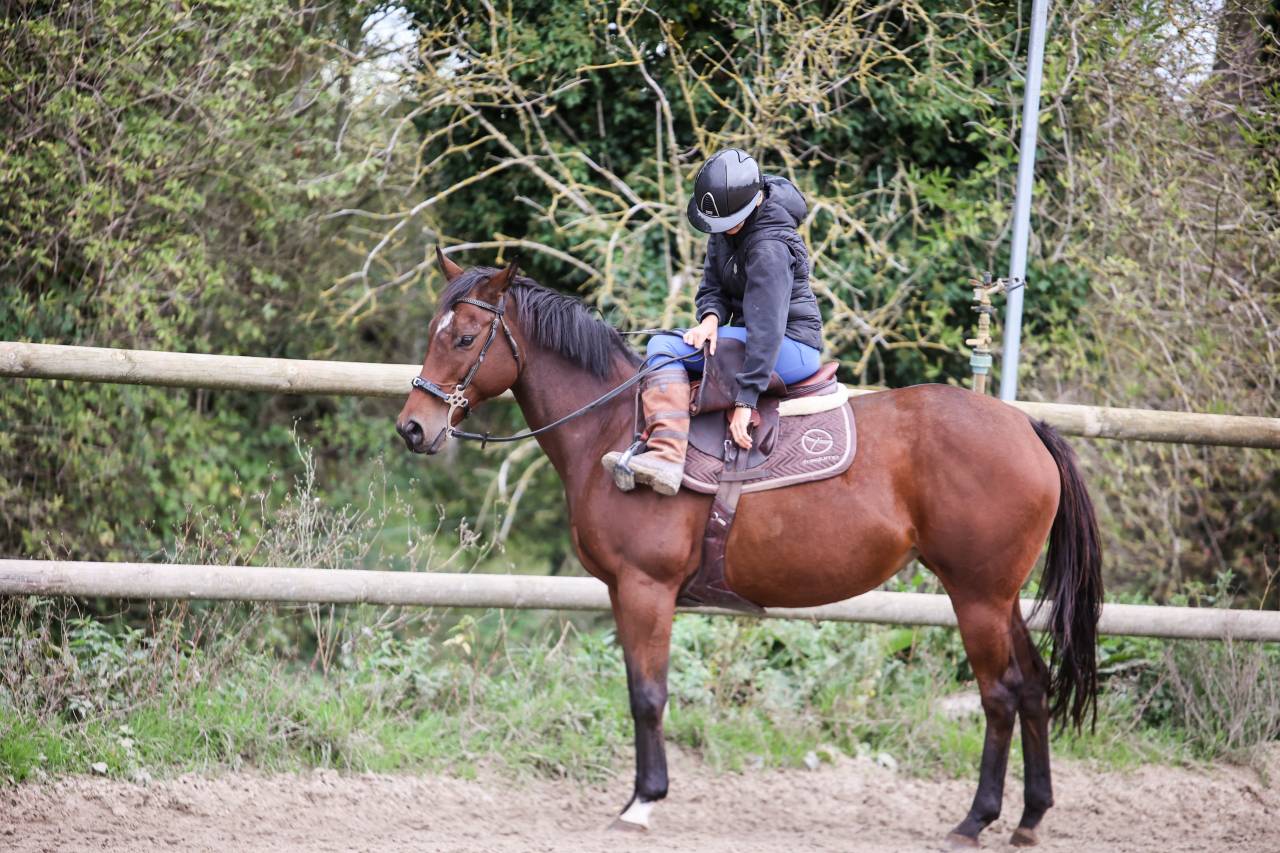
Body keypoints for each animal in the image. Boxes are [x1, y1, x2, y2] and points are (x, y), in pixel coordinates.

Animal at [395, 252, 1103, 848]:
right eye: (431, 331)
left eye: (463, 339)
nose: (413, 428)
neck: (614, 424)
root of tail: (1027, 427)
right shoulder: (625, 592)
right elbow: (638, 690)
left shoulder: (645, 588)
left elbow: (647, 695)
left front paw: (642, 803)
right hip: (1000, 598)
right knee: (1033, 687)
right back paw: (1030, 817)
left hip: (976, 596)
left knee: (1000, 695)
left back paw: (975, 819)